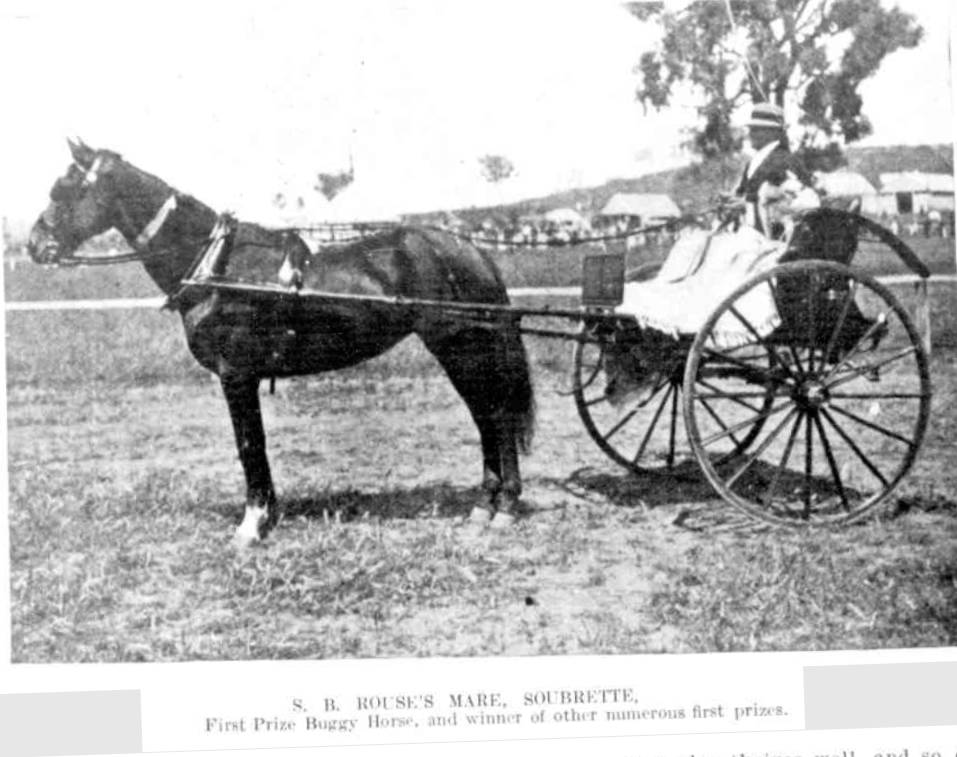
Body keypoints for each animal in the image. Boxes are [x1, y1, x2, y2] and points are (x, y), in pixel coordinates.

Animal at [28, 140, 536, 544]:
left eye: (64, 188)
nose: (35, 245)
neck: (216, 265)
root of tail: (470, 249)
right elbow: (256, 445)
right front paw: (268, 514)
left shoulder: (236, 376)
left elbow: (249, 445)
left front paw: (252, 524)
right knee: (486, 419)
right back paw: (483, 507)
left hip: (460, 348)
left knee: (495, 416)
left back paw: (504, 507)